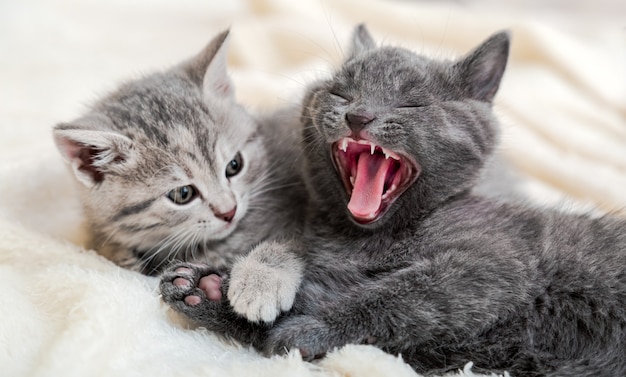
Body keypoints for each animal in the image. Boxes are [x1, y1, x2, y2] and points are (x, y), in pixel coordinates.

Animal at [160, 25, 624, 374]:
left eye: (411, 104)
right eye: (341, 93)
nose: (358, 115)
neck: (363, 241)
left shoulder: (489, 263)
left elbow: (397, 298)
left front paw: (306, 327)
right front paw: (211, 291)